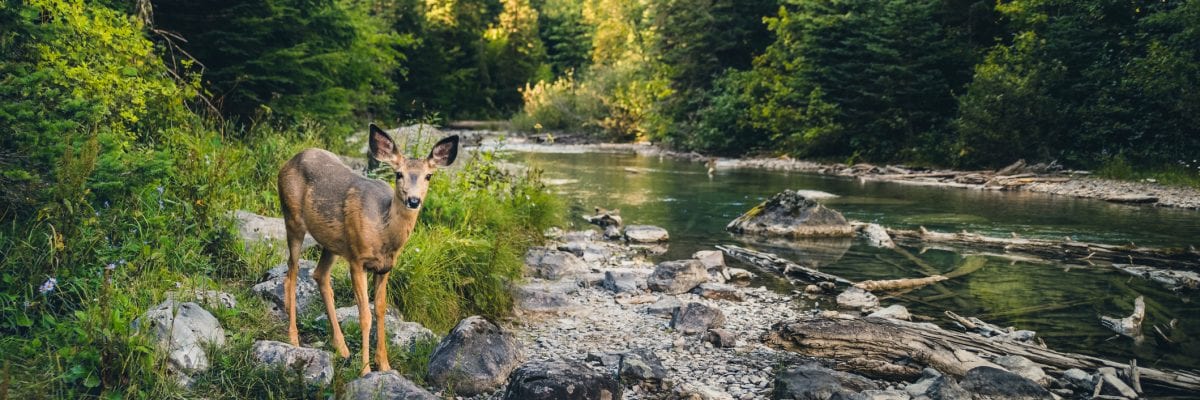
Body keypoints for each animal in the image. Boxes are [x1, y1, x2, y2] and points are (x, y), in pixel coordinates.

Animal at [276, 122, 458, 374]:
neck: (383, 234)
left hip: (333, 244)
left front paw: (385, 365)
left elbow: (380, 311)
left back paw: (342, 348)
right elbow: (364, 316)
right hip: (292, 217)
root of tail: (289, 161)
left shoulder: (385, 267)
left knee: (319, 275)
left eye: (428, 176)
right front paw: (365, 370)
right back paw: (293, 338)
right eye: (398, 174)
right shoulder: (357, 260)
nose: (413, 200)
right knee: (291, 273)